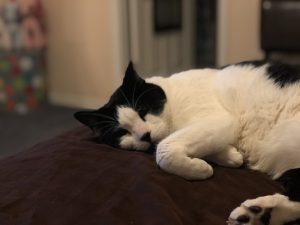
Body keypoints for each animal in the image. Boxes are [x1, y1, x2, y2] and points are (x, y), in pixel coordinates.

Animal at [74, 61, 300, 225]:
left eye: (142, 111)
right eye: (122, 132)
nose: (145, 135)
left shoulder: (220, 120)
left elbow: (163, 150)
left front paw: (199, 169)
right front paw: (229, 156)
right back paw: (258, 214)